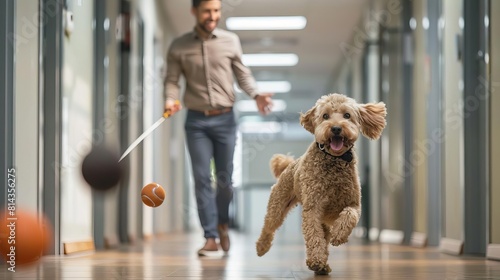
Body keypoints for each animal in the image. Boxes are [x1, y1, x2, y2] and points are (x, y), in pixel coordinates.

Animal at [256, 93, 384, 274]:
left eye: (347, 115)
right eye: (325, 116)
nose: (336, 128)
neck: (334, 159)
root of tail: (290, 164)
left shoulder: (354, 204)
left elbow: (349, 215)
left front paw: (339, 236)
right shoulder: (313, 208)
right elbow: (314, 236)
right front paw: (315, 260)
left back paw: (324, 265)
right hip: (277, 206)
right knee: (268, 226)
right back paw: (262, 247)